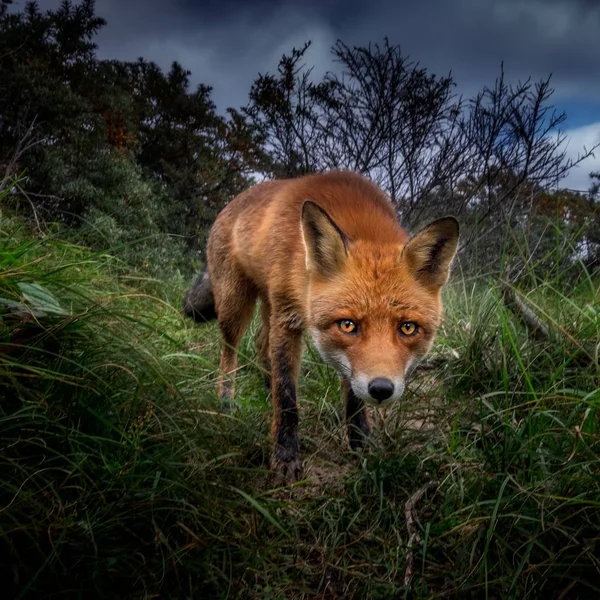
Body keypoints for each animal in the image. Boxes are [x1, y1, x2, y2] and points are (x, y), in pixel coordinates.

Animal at [183, 171, 460, 480]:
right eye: (348, 325)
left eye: (408, 328)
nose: (381, 389)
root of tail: (233, 202)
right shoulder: (287, 318)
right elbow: (287, 396)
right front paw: (285, 455)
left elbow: (353, 400)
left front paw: (361, 446)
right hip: (236, 304)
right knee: (229, 354)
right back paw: (226, 403)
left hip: (267, 304)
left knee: (261, 343)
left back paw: (265, 388)